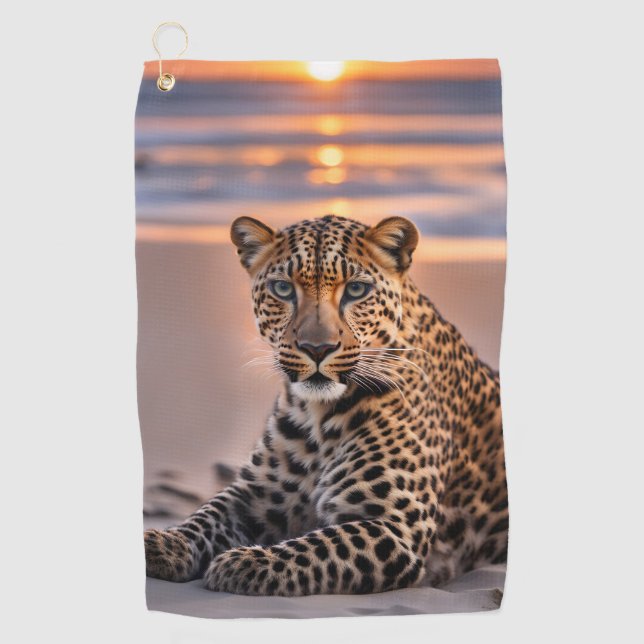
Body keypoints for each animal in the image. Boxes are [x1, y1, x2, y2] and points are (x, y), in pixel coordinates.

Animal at [144, 214, 508, 596]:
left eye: (357, 290)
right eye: (283, 289)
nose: (316, 348)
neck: (317, 416)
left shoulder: (393, 526)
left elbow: (316, 547)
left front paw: (246, 561)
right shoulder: (253, 495)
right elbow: (206, 514)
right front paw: (162, 542)